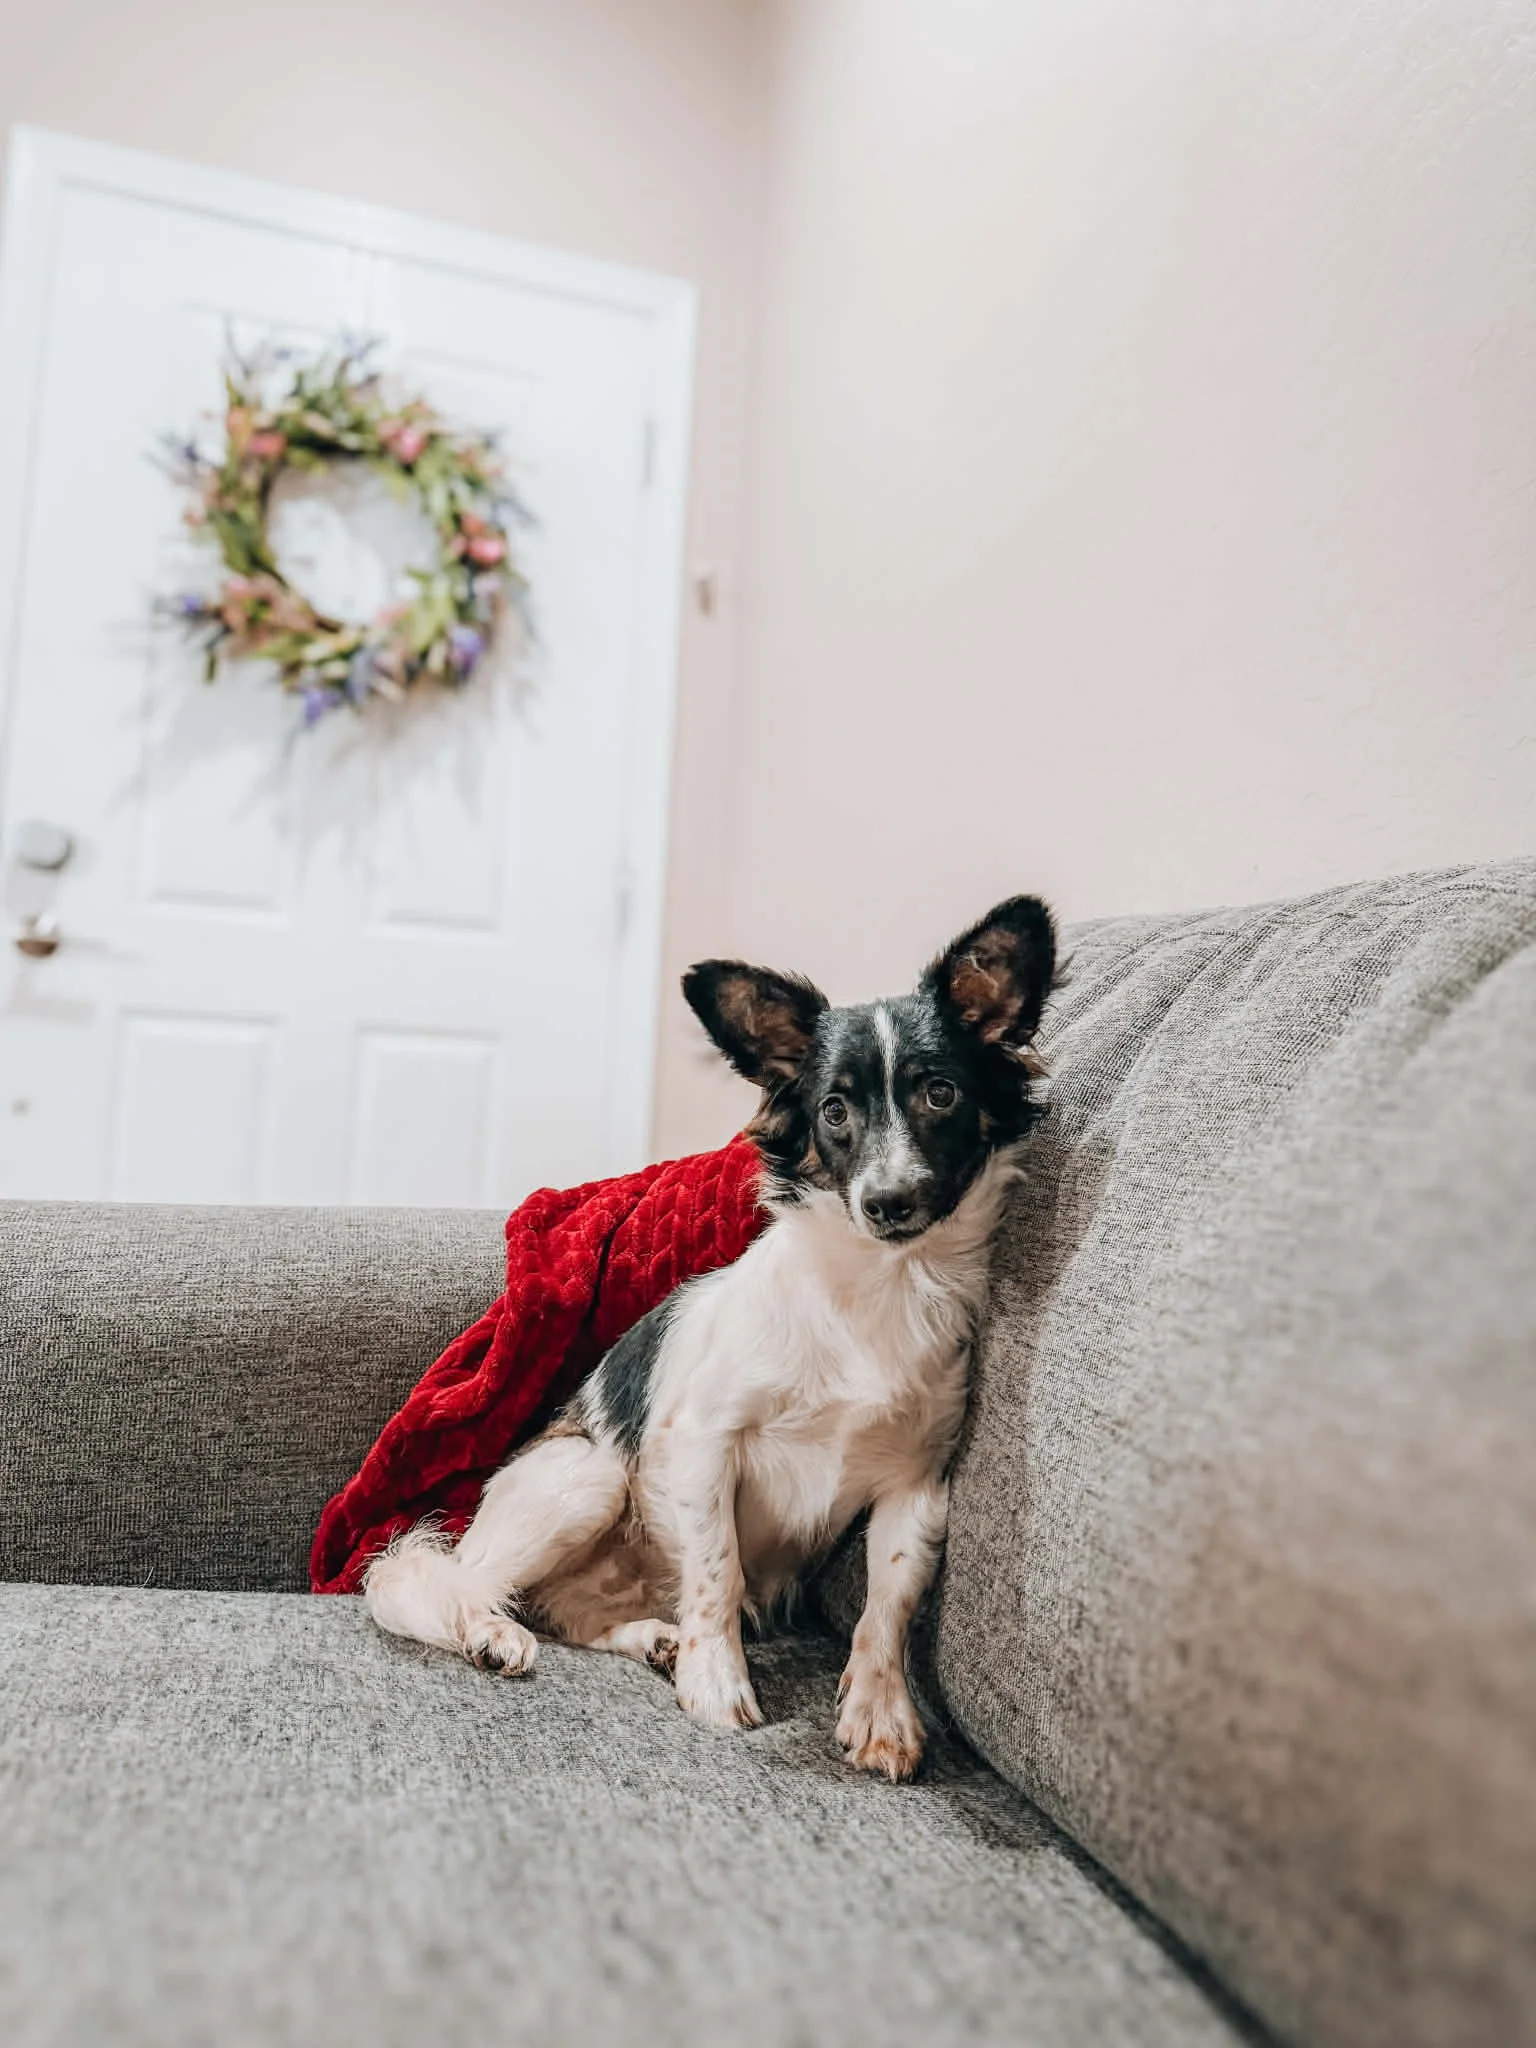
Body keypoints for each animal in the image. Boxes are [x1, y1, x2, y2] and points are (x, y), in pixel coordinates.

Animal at [364, 894, 1055, 1781]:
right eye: (834, 1111)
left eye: (940, 1093)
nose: (888, 1202)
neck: (878, 1287)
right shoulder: (704, 1443)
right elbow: (719, 1572)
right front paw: (716, 1683)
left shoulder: (917, 1488)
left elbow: (887, 1607)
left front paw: (880, 1711)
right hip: (587, 1475)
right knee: (462, 1584)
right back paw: (493, 1633)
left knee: (566, 1613)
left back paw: (651, 1638)